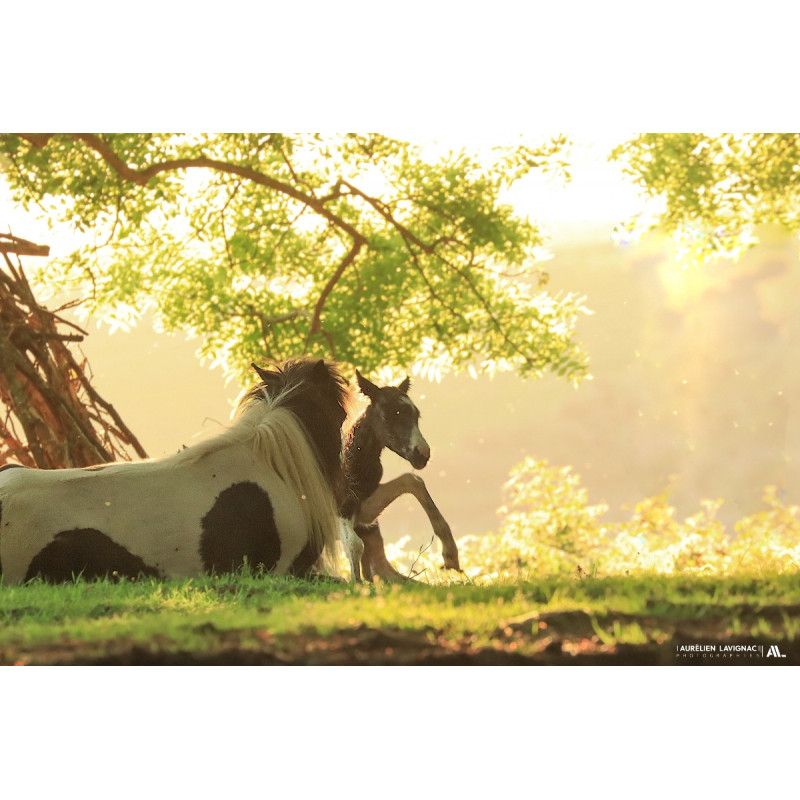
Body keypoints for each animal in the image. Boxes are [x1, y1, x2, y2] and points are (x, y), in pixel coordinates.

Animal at [339, 371, 461, 582]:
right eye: (392, 414)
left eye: (416, 414)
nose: (422, 453)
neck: (353, 464)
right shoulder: (339, 507)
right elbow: (354, 544)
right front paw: (355, 583)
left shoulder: (364, 511)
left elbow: (413, 480)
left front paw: (451, 555)